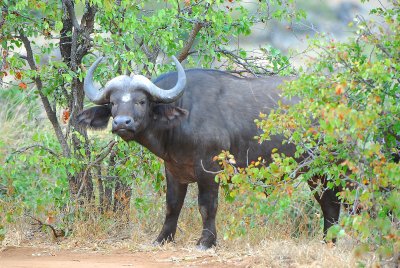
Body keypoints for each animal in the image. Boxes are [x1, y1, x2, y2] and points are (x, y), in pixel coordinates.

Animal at [76, 56, 340, 249]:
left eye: (141, 101)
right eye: (113, 103)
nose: (122, 123)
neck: (183, 115)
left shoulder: (210, 170)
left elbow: (206, 206)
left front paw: (206, 241)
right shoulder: (174, 170)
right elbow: (172, 206)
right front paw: (162, 239)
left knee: (333, 202)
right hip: (316, 173)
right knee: (328, 204)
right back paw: (328, 241)